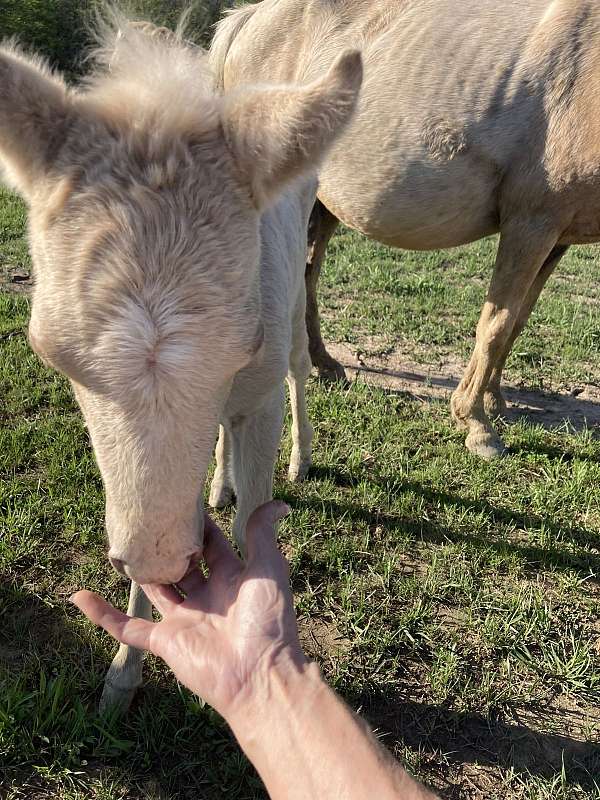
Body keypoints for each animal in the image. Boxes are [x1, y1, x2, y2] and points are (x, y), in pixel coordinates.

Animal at [0, 16, 362, 709]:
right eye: (51, 353)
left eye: (246, 343)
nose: (163, 562)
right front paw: (121, 676)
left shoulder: (258, 383)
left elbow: (251, 521)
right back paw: (217, 482)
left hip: (296, 303)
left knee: (301, 369)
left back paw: (301, 458)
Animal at [211, 0, 600, 460]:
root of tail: (248, 19)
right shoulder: (530, 224)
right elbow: (496, 324)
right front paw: (476, 424)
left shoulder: (557, 236)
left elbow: (517, 320)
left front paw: (493, 401)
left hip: (316, 202)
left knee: (306, 276)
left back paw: (325, 364)